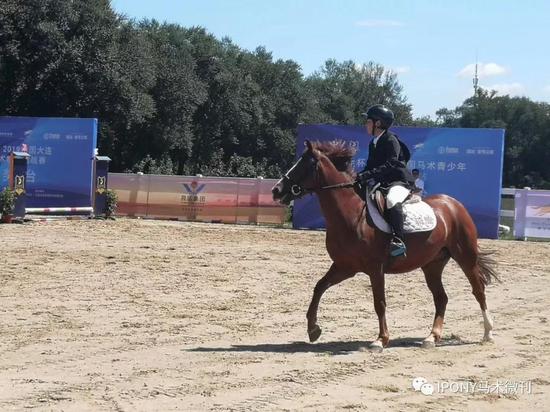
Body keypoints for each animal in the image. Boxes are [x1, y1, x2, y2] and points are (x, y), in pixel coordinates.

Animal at [274, 141, 502, 350]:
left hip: (465, 256)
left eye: (304, 164)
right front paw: (313, 329)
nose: (276, 190)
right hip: (432, 264)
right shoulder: (345, 267)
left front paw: (380, 340)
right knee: (441, 298)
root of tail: (453, 204)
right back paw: (431, 337)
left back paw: (488, 333)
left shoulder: (375, 268)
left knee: (478, 289)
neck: (350, 215)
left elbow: (380, 302)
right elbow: (319, 287)